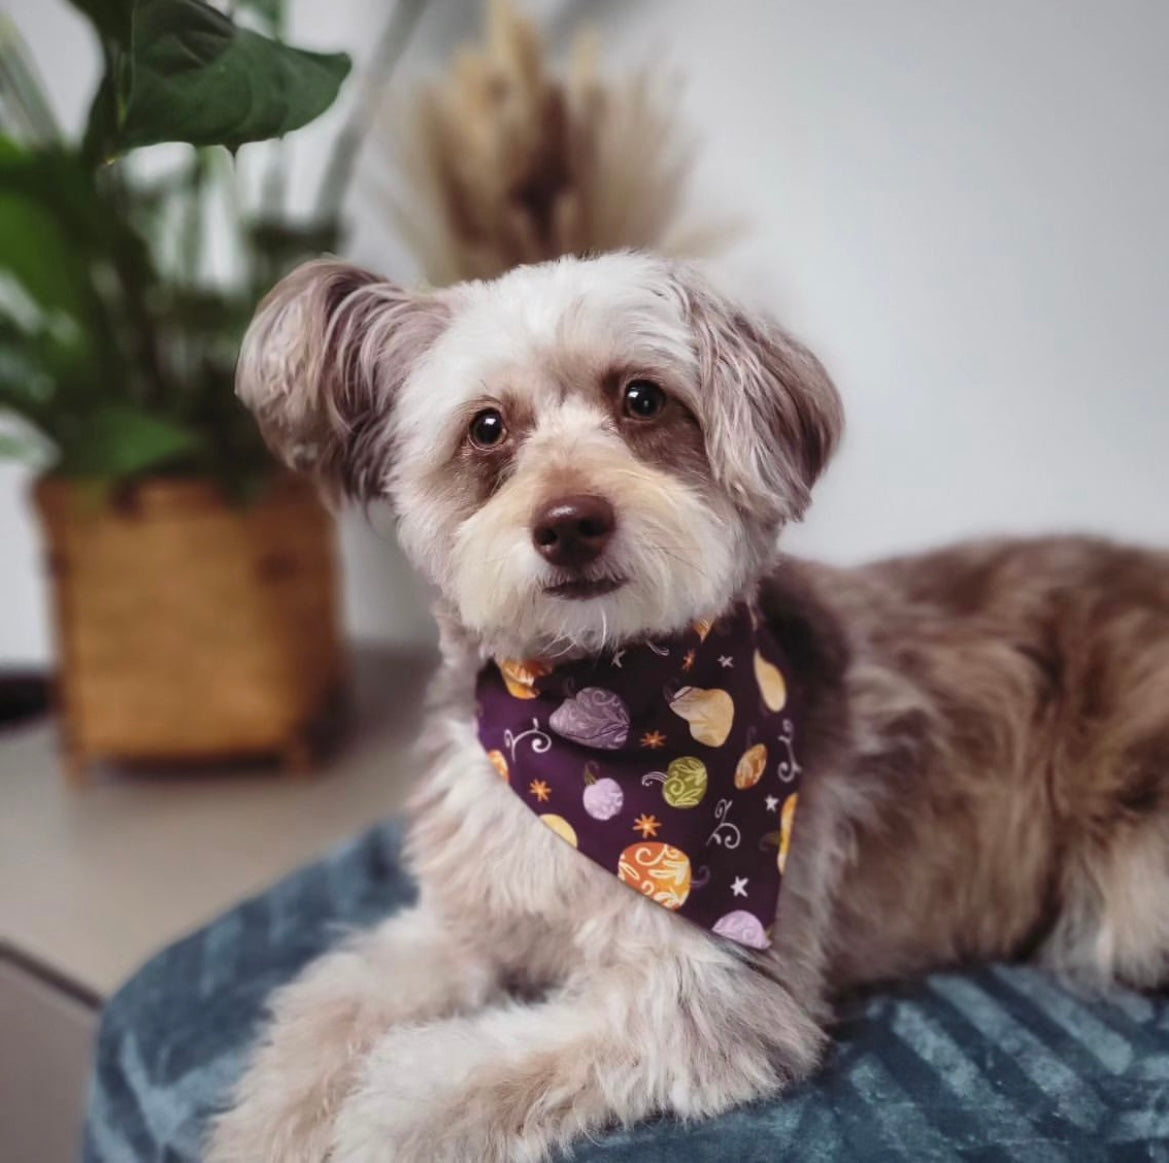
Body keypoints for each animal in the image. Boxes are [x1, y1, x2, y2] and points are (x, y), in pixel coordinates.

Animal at [210, 250, 1169, 1159]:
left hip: (1132, 885)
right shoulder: (462, 922)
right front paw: (274, 1124)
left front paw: (376, 1113)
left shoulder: (712, 989)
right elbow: (333, 1003)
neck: (590, 715)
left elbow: (448, 1071)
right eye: (487, 426)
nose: (569, 522)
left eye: (641, 397)